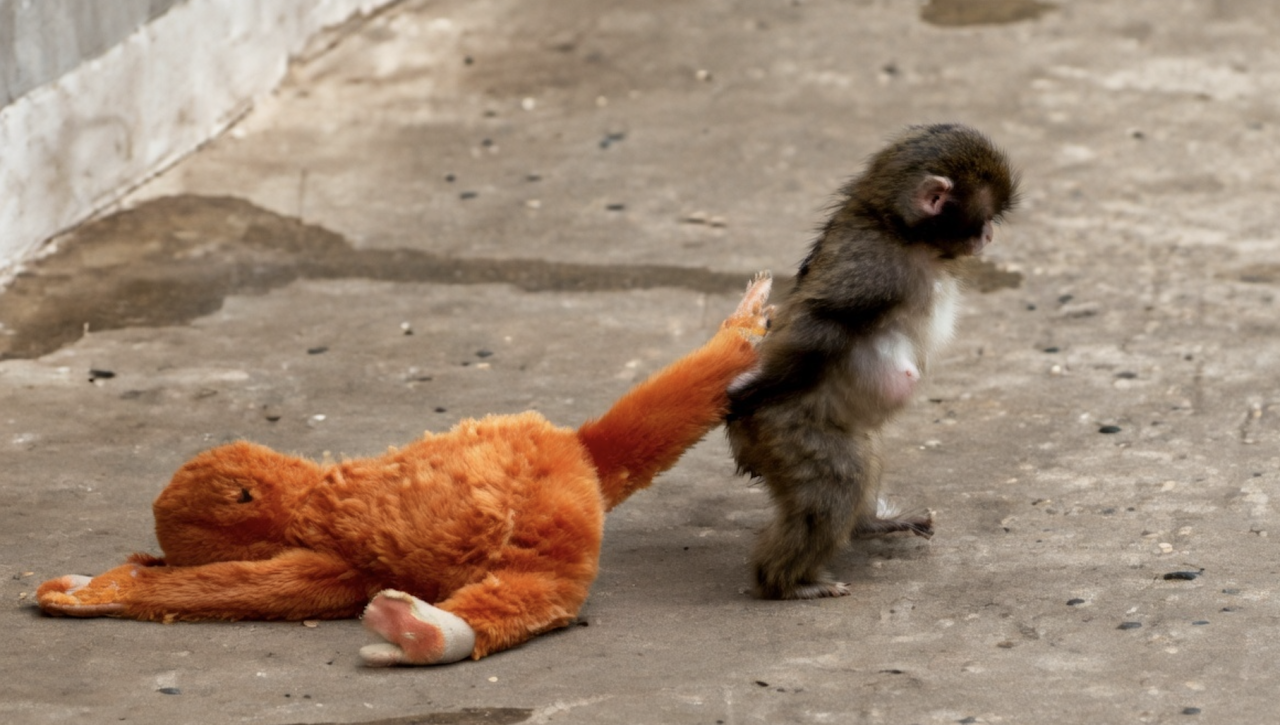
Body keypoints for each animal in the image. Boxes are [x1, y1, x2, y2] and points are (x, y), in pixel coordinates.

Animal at [725, 123, 1018, 600]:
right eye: (986, 215)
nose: (989, 233)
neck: (895, 227)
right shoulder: (876, 268)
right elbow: (821, 322)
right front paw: (745, 395)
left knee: (864, 453)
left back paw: (869, 526)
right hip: (785, 430)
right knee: (838, 481)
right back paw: (788, 583)